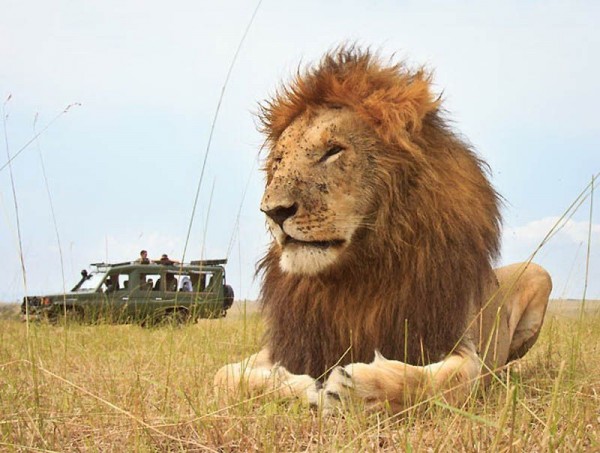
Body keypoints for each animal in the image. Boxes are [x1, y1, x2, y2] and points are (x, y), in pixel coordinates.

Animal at [216, 47, 552, 412]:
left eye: (333, 151)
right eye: (278, 161)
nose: (273, 211)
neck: (355, 274)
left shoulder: (457, 345)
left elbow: (442, 382)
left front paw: (354, 389)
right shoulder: (288, 344)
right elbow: (224, 376)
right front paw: (299, 386)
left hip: (538, 274)